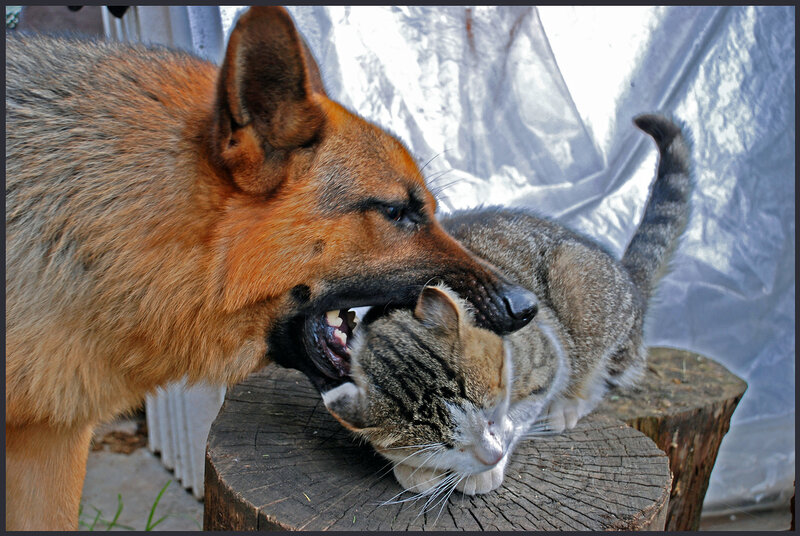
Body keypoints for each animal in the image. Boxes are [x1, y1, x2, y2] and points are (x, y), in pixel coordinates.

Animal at [318, 115, 688, 496]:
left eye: (491, 413)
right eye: (447, 447)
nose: (490, 455)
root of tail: (625, 273)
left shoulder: (547, 353)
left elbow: (520, 414)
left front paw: (485, 467)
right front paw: (416, 469)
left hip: (577, 279)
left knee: (599, 377)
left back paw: (568, 403)